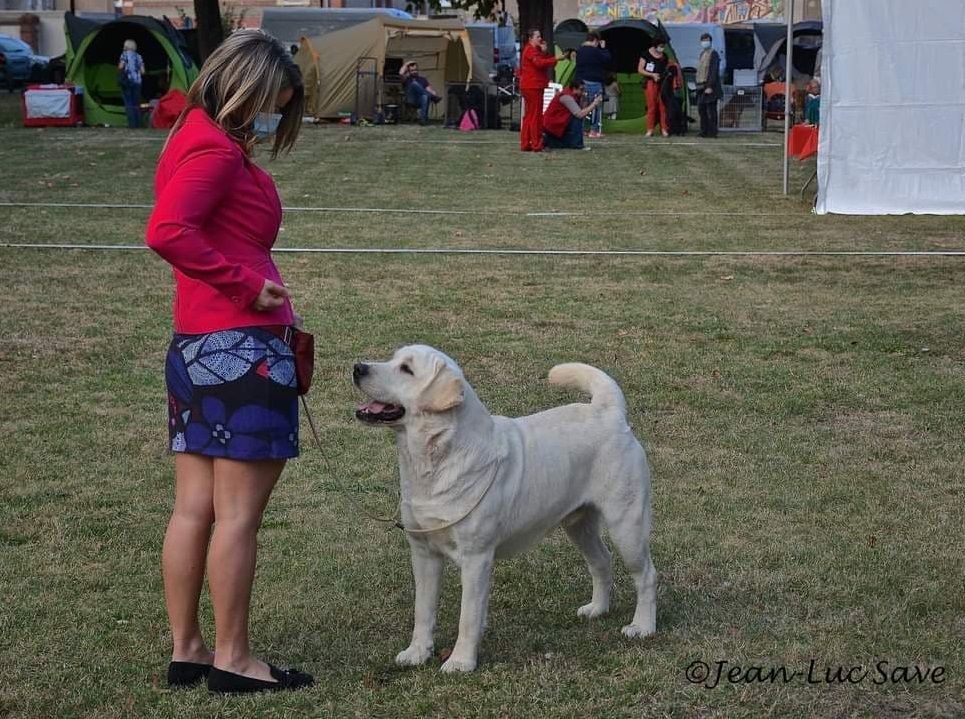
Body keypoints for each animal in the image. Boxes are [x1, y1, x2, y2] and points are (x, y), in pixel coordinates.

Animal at [353, 345, 656, 672]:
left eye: (406, 369)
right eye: (393, 358)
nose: (358, 368)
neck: (435, 462)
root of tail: (610, 412)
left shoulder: (476, 558)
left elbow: (468, 617)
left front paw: (460, 662)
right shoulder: (423, 553)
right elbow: (423, 611)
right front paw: (417, 653)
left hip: (627, 525)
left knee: (646, 575)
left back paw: (642, 627)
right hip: (578, 525)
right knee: (602, 561)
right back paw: (597, 609)